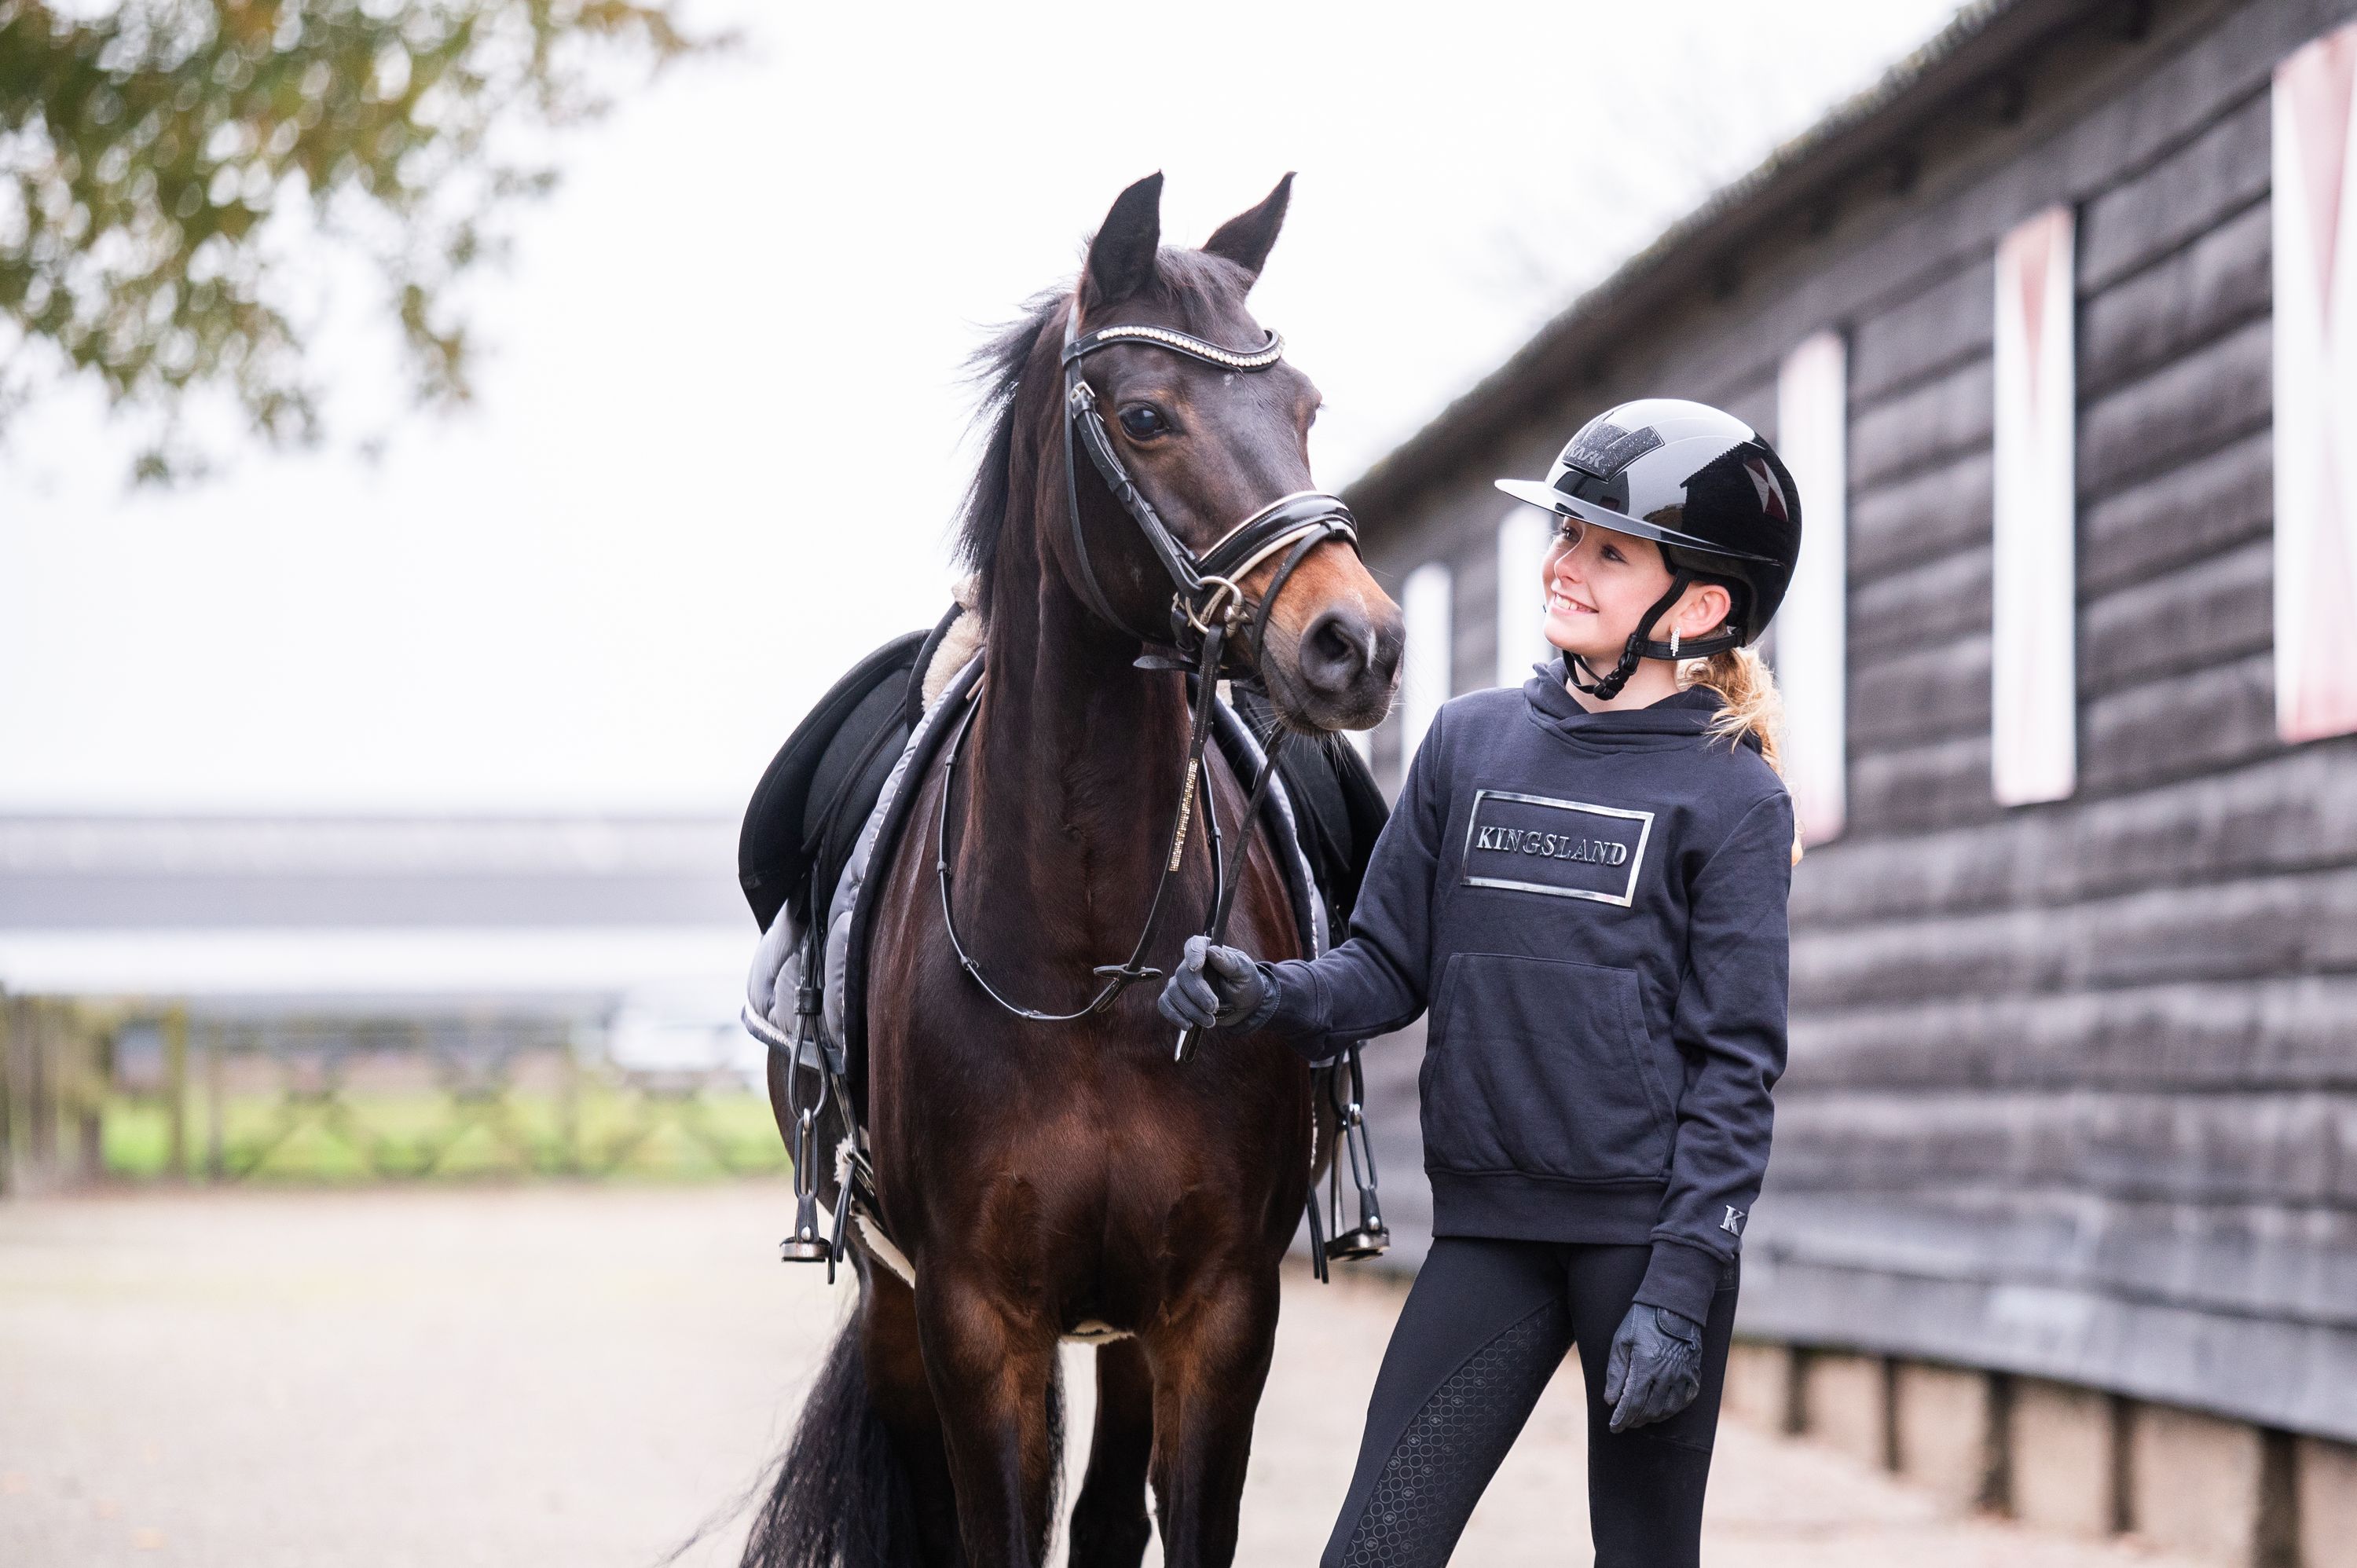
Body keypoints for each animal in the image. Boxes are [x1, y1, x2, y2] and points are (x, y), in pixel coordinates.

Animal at [742, 173, 1404, 1568]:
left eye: (1305, 410)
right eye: (1146, 416)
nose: (1356, 641)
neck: (1092, 954)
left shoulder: (1215, 1314)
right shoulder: (972, 1316)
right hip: (896, 1304)